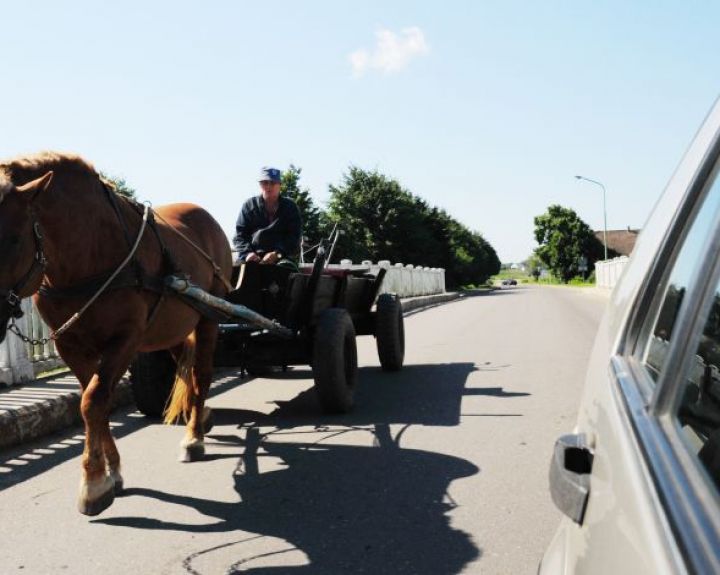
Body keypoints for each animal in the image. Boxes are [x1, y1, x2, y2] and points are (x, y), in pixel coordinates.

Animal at [0, 153, 232, 516]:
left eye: (11, 240)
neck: (90, 250)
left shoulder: (125, 340)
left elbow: (93, 401)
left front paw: (94, 482)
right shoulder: (70, 345)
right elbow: (93, 402)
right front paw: (111, 471)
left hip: (209, 316)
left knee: (201, 374)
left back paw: (194, 437)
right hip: (172, 330)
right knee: (187, 372)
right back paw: (202, 416)